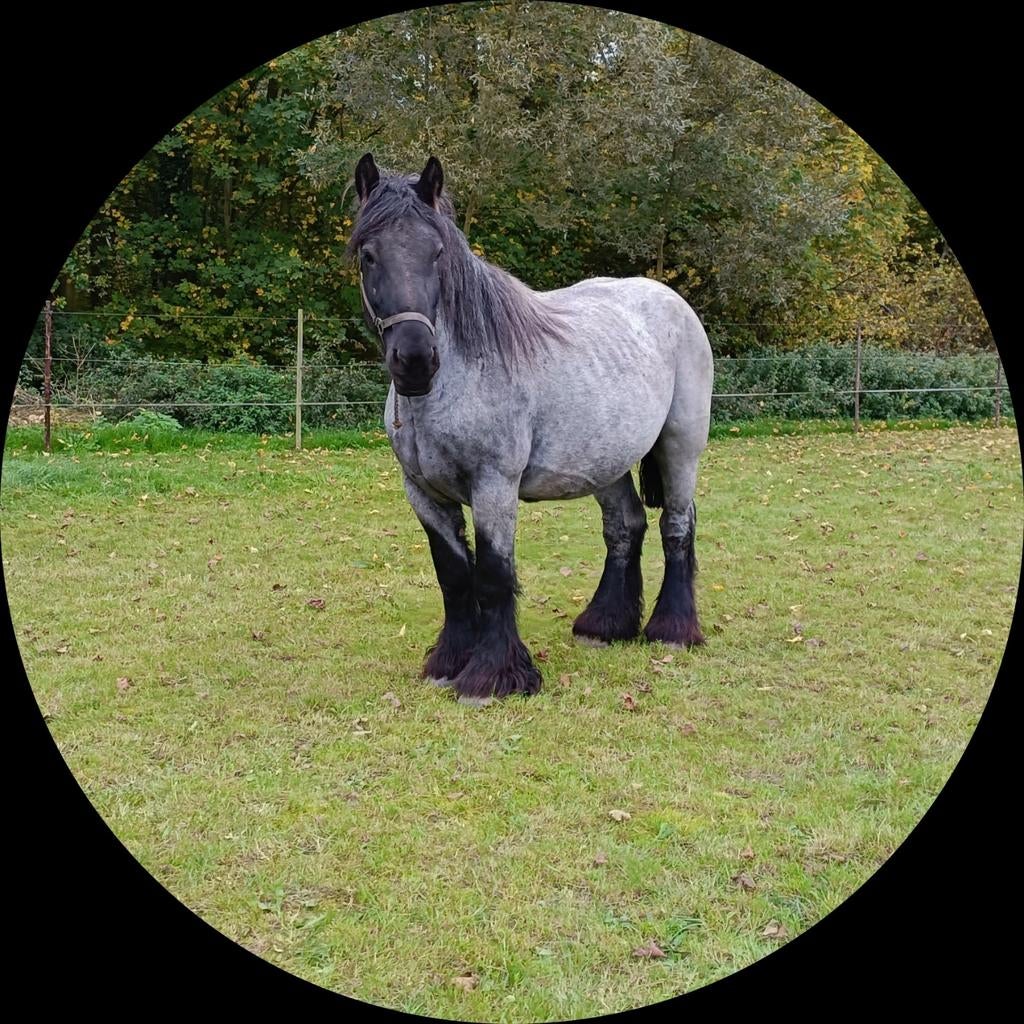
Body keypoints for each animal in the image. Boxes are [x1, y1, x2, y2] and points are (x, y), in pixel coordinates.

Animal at [349, 153, 714, 706]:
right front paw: (448, 663)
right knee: (625, 527)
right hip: (604, 463)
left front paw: (491, 678)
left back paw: (671, 631)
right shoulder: (423, 494)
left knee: (677, 525)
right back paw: (604, 625)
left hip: (680, 447)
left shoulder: (494, 486)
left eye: (437, 253)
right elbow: (453, 576)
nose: (414, 359)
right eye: (369, 255)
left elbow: (494, 576)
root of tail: (671, 300)